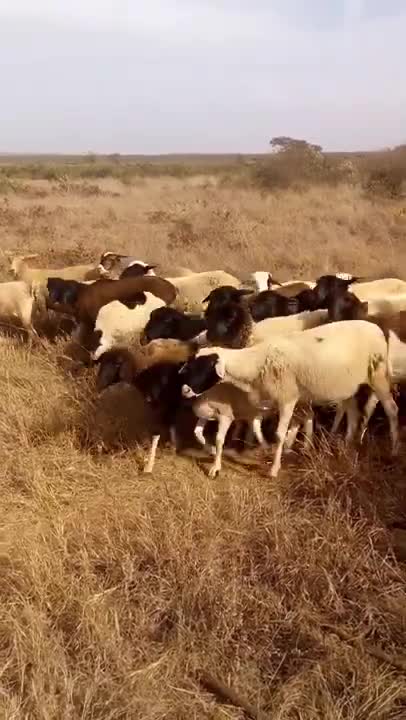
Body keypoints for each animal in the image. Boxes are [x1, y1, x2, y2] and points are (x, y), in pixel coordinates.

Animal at [179, 320, 399, 477]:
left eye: (205, 366)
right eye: (191, 364)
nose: (185, 391)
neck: (257, 363)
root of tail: (378, 329)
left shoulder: (287, 398)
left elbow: (279, 433)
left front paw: (274, 469)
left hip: (378, 374)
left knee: (391, 409)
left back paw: (393, 450)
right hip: (349, 385)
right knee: (353, 412)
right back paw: (346, 445)